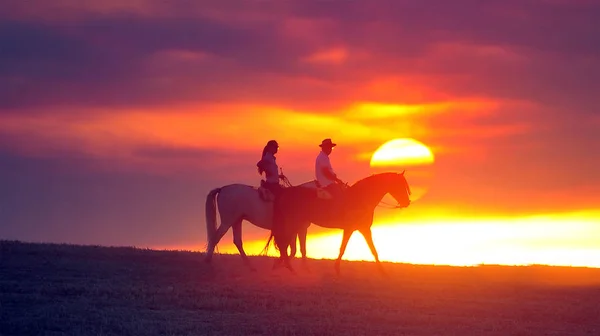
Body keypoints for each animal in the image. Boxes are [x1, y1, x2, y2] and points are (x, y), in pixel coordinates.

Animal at [266, 172, 412, 274]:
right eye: (399, 185)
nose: (407, 202)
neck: (361, 197)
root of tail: (285, 191)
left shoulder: (362, 229)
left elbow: (371, 249)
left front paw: (382, 271)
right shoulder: (353, 229)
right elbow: (345, 248)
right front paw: (337, 269)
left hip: (298, 224)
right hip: (293, 223)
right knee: (284, 243)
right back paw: (288, 267)